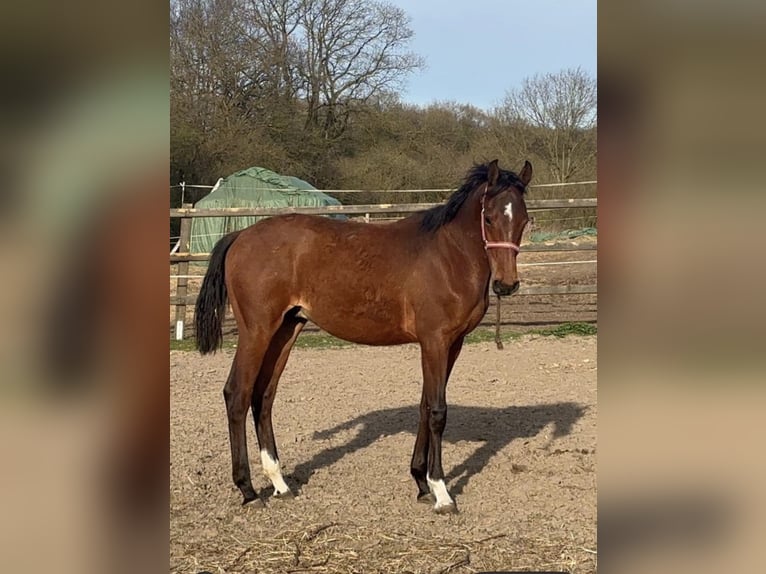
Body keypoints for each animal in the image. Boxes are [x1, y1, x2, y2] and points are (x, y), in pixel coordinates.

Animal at [194, 159, 532, 514]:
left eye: (524, 219)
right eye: (489, 217)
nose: (506, 285)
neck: (448, 256)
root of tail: (240, 235)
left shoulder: (452, 344)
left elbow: (425, 405)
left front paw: (420, 482)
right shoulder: (435, 342)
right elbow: (438, 411)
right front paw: (441, 492)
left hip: (286, 329)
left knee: (263, 396)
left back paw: (279, 483)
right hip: (257, 331)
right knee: (237, 394)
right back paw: (248, 490)